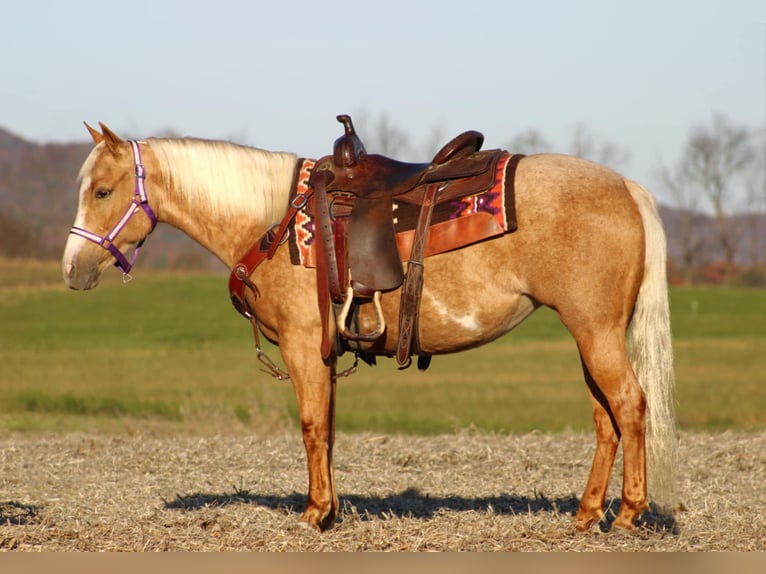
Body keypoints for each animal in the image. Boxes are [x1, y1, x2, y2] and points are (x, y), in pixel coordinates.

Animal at [63, 122, 680, 536]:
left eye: (102, 191)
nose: (72, 269)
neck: (273, 220)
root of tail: (626, 186)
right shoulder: (325, 353)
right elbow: (330, 430)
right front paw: (331, 508)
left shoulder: (303, 347)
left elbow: (313, 426)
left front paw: (314, 513)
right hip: (591, 335)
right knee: (605, 418)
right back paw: (585, 514)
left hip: (596, 333)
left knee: (629, 406)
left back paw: (627, 515)